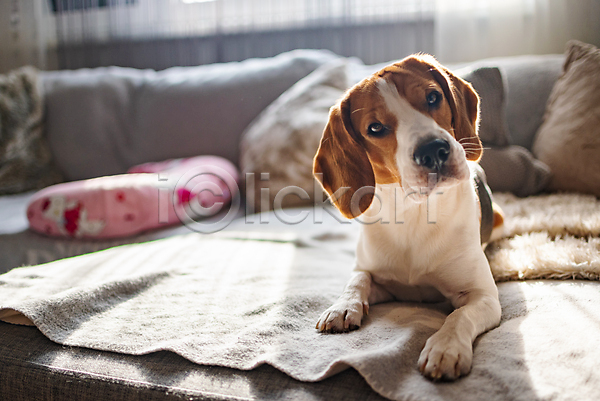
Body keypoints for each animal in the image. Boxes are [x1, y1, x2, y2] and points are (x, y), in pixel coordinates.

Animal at [312, 54, 504, 382]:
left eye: (433, 97)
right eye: (375, 127)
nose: (434, 151)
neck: (414, 213)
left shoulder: (483, 296)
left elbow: (459, 315)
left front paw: (445, 347)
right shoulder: (379, 278)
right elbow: (357, 279)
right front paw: (342, 306)